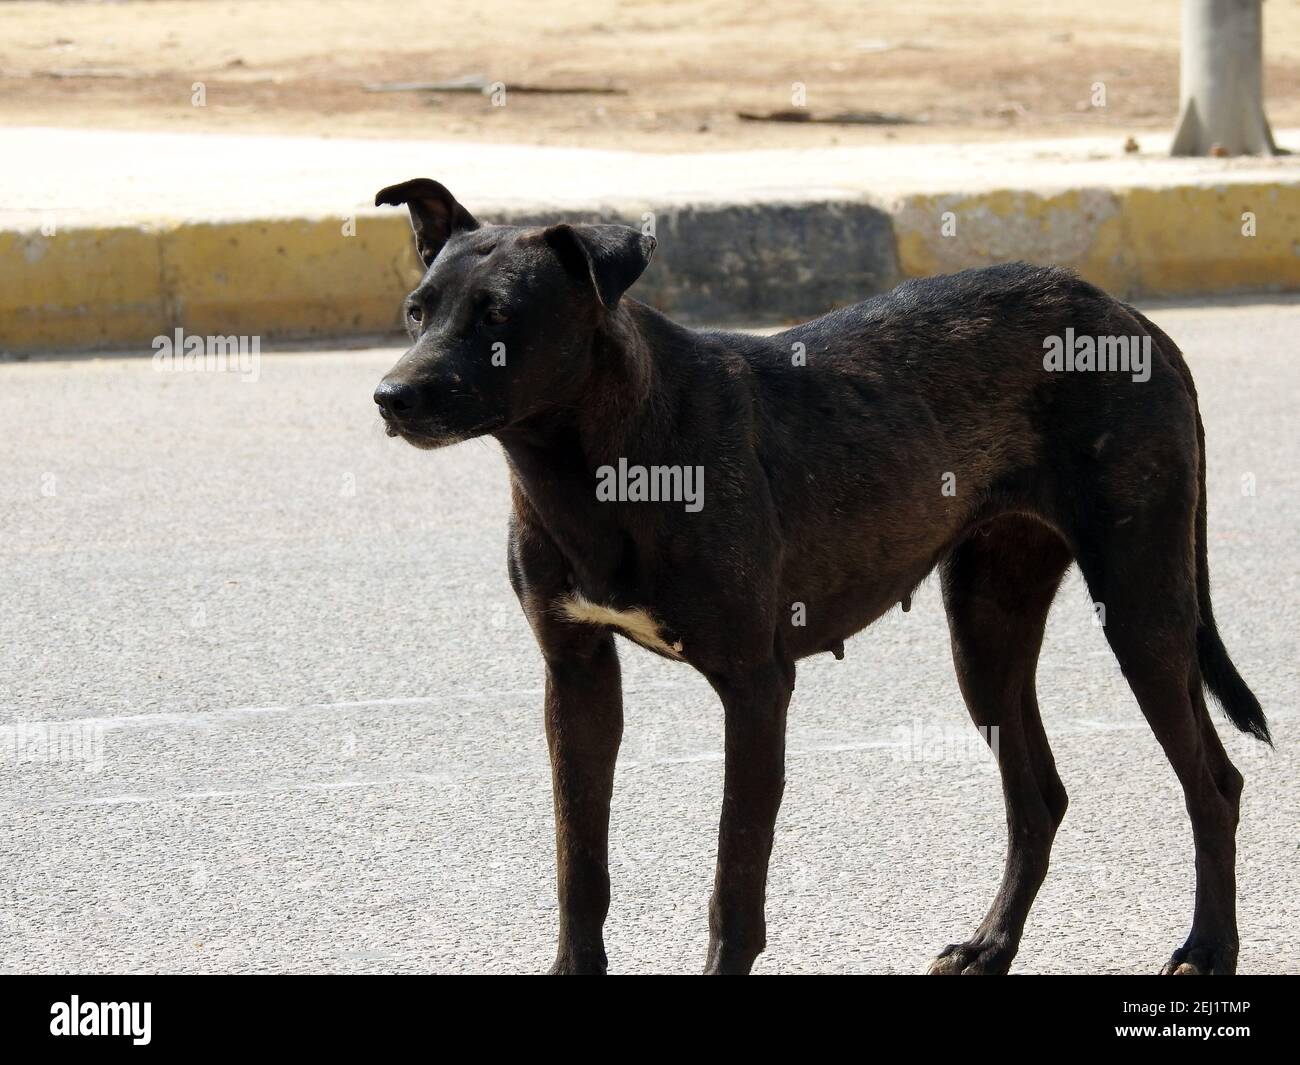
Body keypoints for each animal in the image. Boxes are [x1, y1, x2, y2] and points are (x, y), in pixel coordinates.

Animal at [374, 176, 1268, 972]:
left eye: (500, 317)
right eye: (418, 310)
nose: (391, 395)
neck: (595, 460)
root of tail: (1128, 315)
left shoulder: (755, 686)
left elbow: (734, 885)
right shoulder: (577, 675)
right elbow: (579, 867)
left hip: (1142, 608)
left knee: (1214, 783)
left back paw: (1206, 949)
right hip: (987, 627)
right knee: (1039, 797)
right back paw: (989, 946)